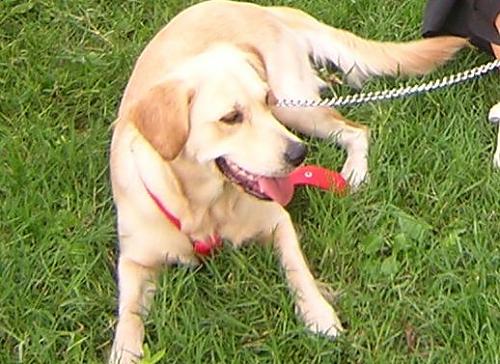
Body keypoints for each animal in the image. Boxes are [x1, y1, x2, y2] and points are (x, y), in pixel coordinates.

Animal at [108, 1, 464, 362]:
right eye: (231, 117)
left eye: (264, 101)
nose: (298, 153)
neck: (204, 208)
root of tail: (262, 8)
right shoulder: (134, 261)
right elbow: (129, 313)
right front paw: (124, 350)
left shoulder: (278, 221)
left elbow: (298, 270)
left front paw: (318, 313)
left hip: (296, 108)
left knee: (357, 131)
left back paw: (355, 172)